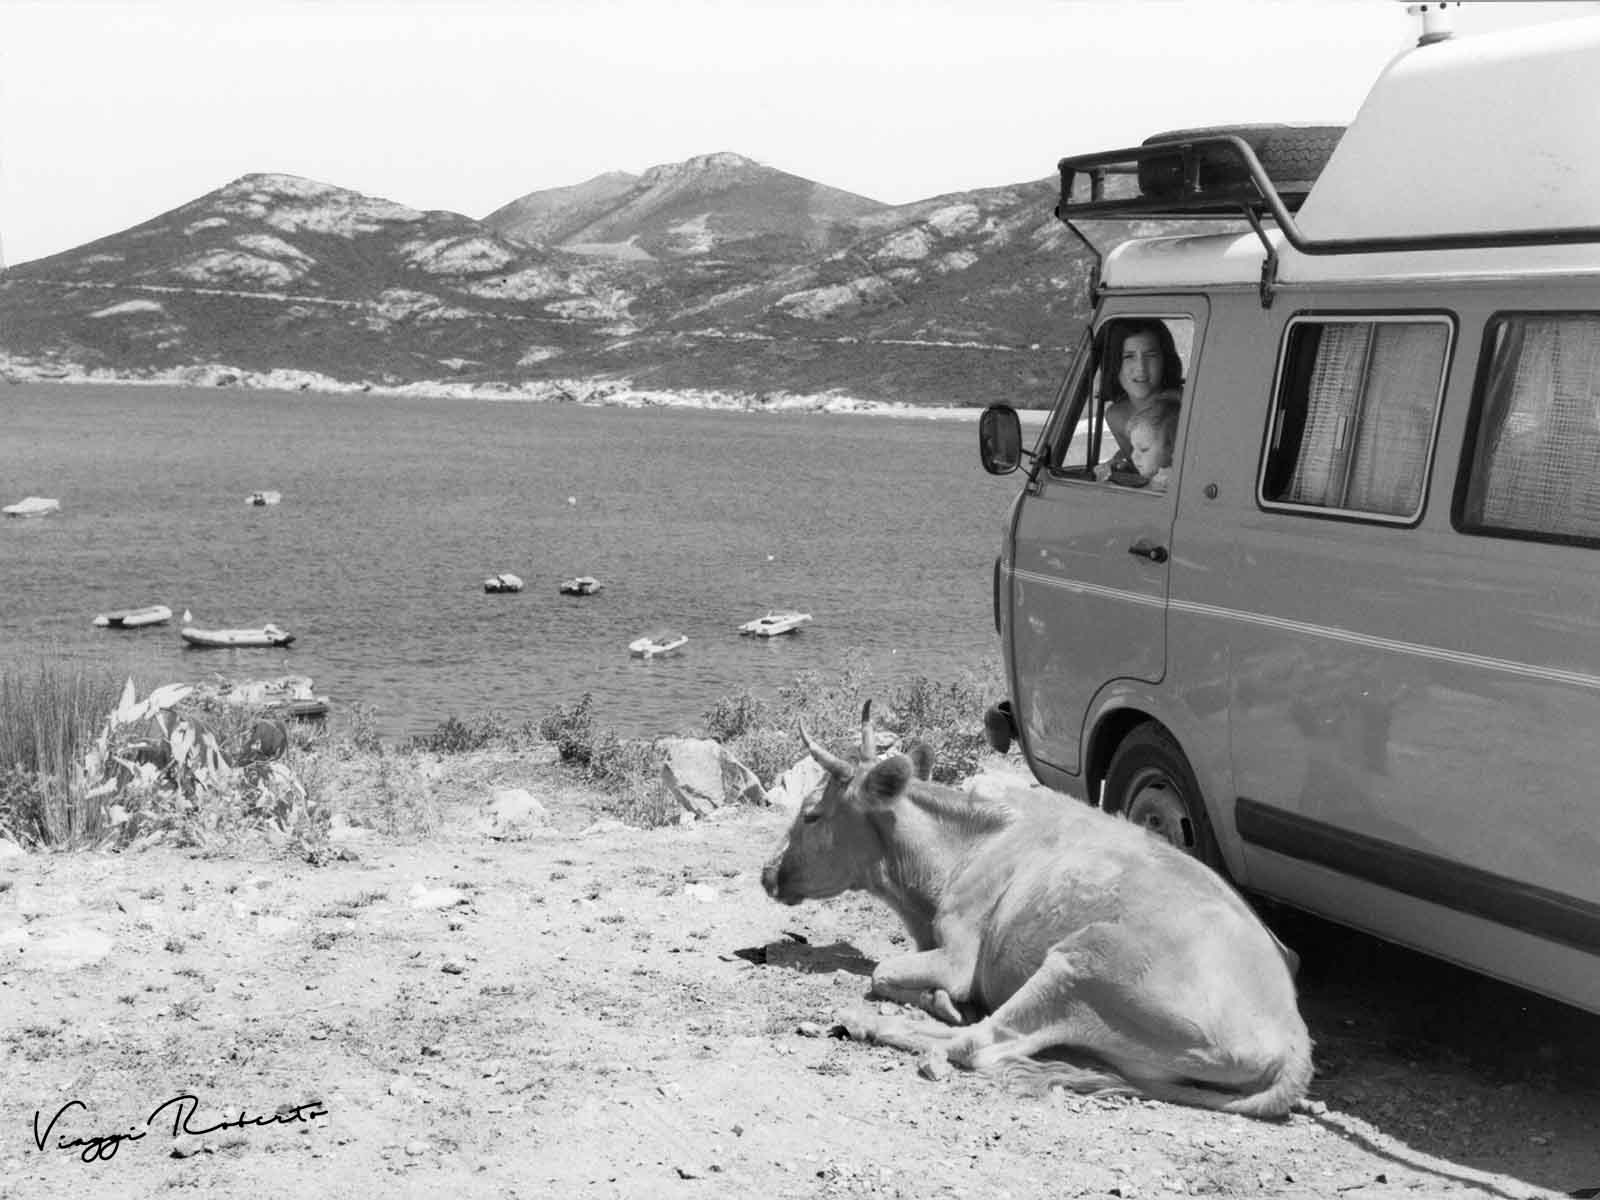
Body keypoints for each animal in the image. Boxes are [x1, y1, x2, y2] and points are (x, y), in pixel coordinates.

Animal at [761, 704, 1312, 1120]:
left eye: (811, 814)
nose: (767, 873)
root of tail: (1292, 1043)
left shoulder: (959, 956)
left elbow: (883, 971)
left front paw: (940, 1001)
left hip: (1081, 963)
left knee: (980, 1042)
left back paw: (868, 1023)